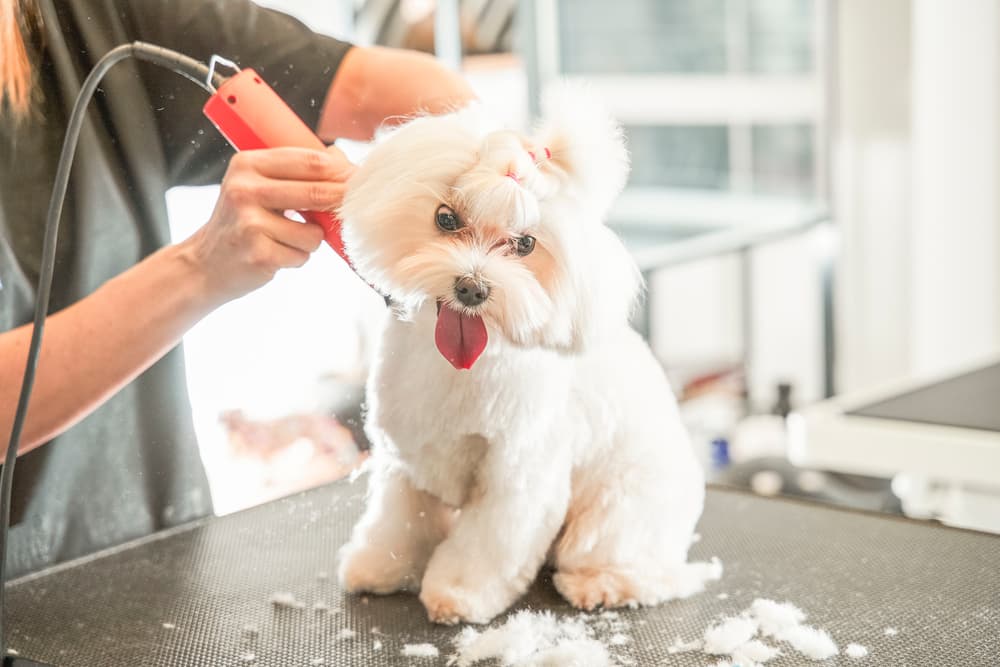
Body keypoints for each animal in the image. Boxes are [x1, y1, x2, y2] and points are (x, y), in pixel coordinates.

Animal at [336, 88, 720, 628]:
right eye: (446, 218)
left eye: (525, 244)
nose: (471, 288)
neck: (461, 368)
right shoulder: (407, 456)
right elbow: (397, 521)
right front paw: (379, 567)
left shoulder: (519, 474)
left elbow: (488, 542)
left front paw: (458, 593)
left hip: (619, 510)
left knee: (636, 568)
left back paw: (601, 584)